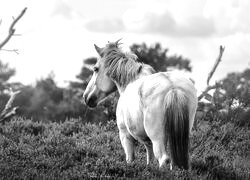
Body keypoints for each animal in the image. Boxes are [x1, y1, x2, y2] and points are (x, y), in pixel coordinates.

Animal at [83, 39, 197, 170]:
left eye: (95, 69)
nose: (86, 97)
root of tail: (173, 88)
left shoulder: (125, 135)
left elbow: (130, 158)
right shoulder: (147, 141)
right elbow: (149, 158)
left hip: (157, 138)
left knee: (163, 159)